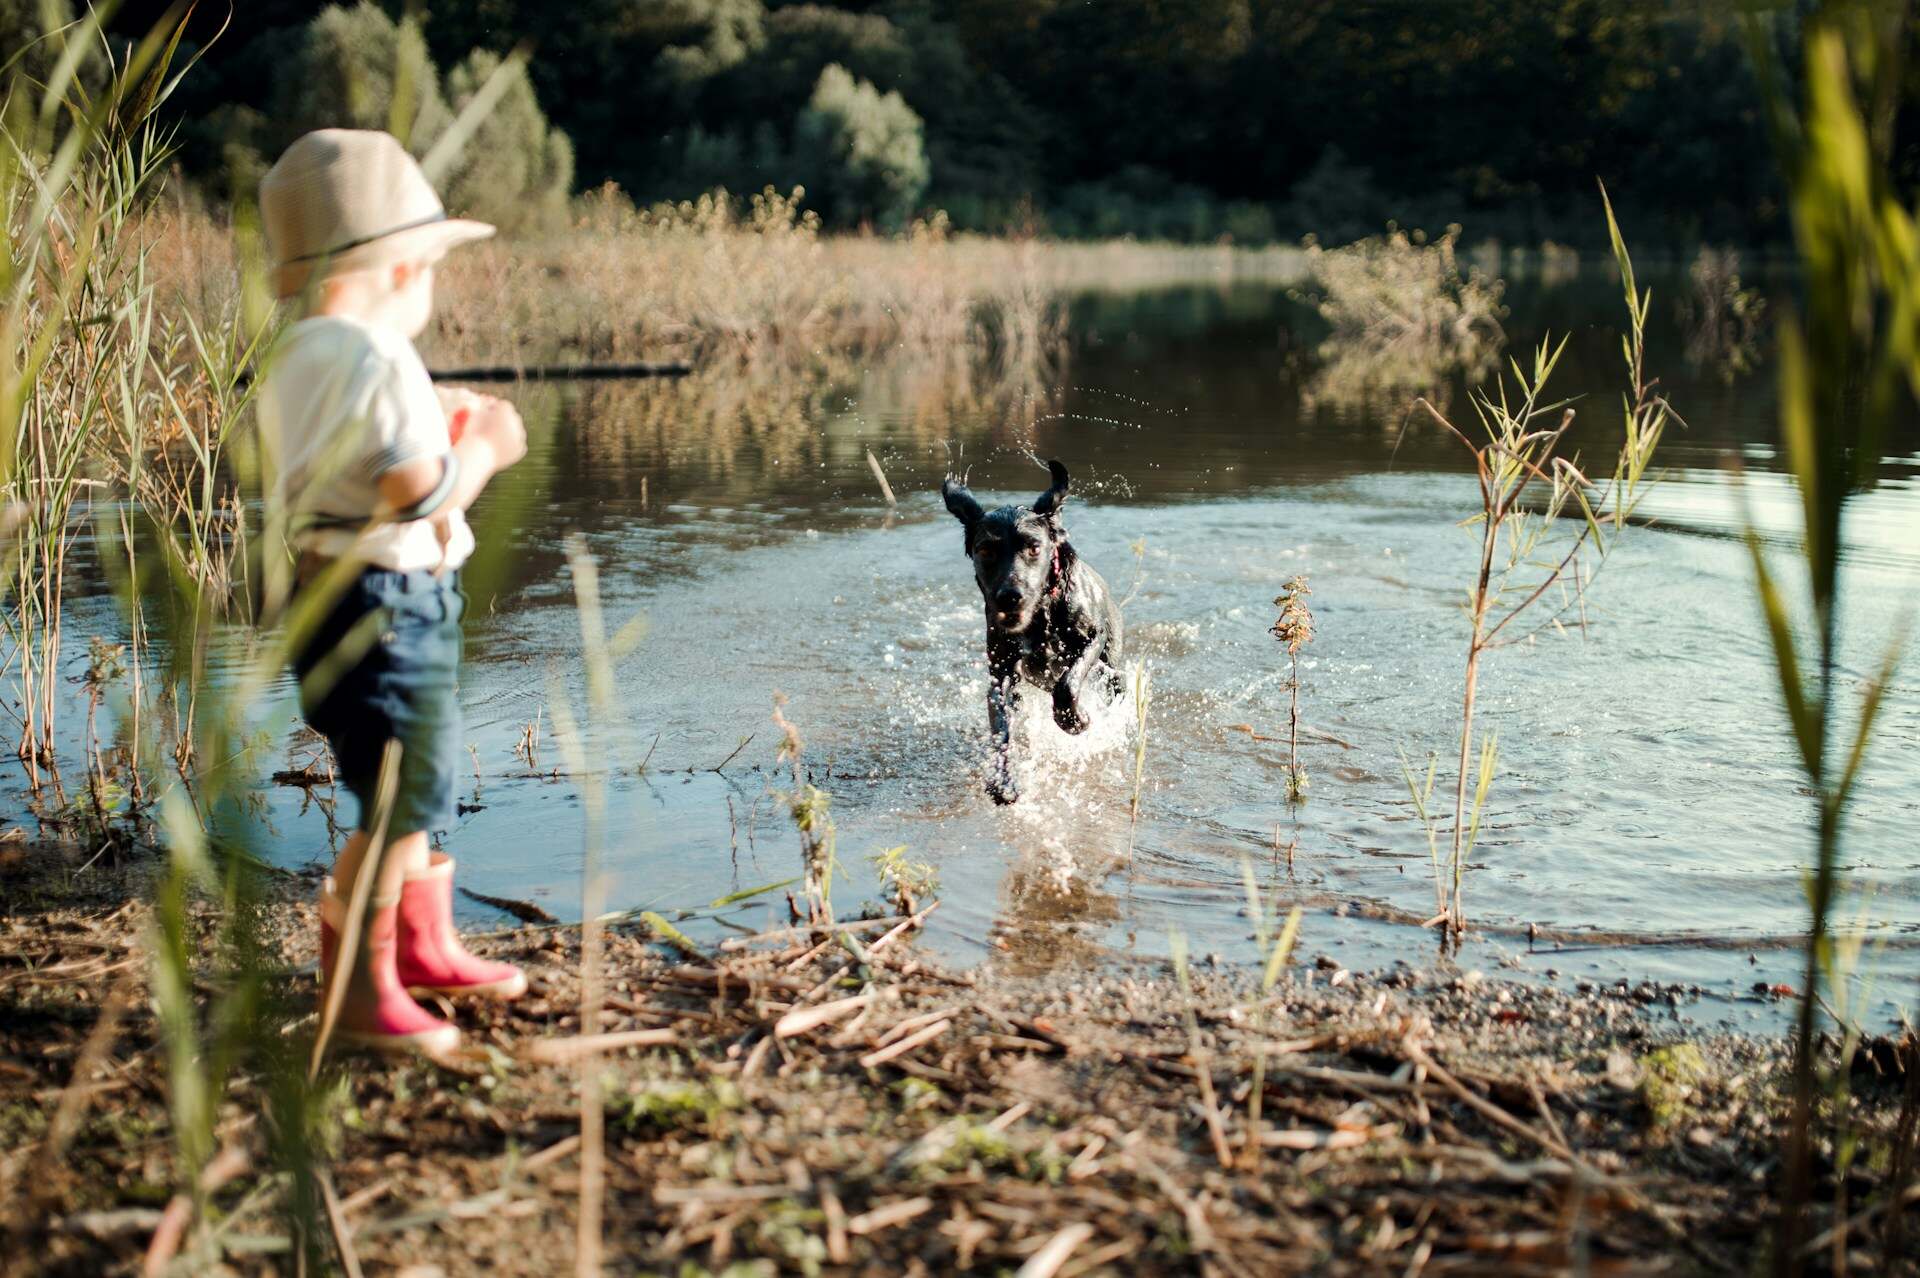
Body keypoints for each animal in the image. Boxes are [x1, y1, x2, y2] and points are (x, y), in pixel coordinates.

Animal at [944, 458, 1121, 798]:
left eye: (1034, 548)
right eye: (985, 550)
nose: (1010, 596)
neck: (1041, 619)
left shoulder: (1092, 638)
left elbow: (1067, 685)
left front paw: (1075, 720)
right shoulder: (1001, 673)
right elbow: (1002, 726)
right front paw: (1002, 780)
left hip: (1113, 665)